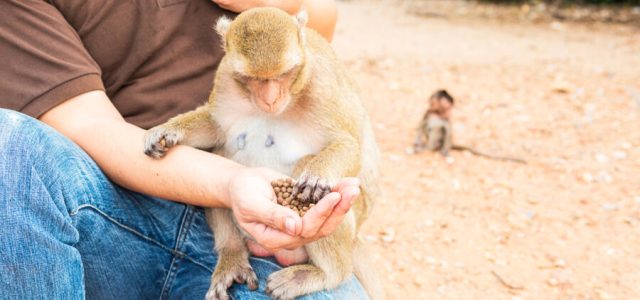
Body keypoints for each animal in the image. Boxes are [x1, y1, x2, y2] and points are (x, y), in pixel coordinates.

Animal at [142, 7, 382, 300]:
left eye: (284, 74)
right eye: (252, 79)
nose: (270, 100)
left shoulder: (321, 84)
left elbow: (349, 145)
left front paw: (317, 175)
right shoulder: (226, 78)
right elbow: (215, 128)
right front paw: (167, 131)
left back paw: (324, 274)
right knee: (220, 155)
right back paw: (232, 253)